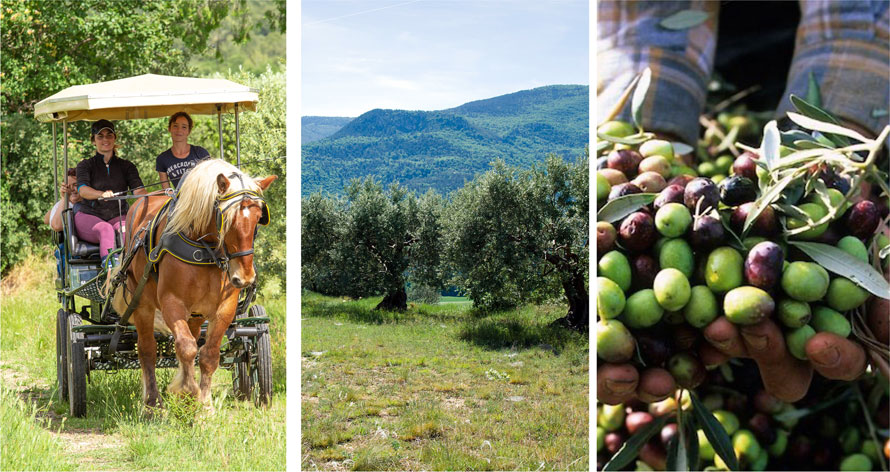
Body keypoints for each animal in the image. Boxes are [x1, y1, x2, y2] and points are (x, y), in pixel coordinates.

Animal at [112, 159, 276, 410]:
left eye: (259, 218)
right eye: (227, 219)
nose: (245, 277)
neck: (205, 250)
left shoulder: (225, 308)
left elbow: (208, 355)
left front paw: (204, 404)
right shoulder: (171, 303)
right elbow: (187, 348)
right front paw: (188, 391)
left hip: (196, 314)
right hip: (142, 304)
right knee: (147, 349)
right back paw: (152, 403)